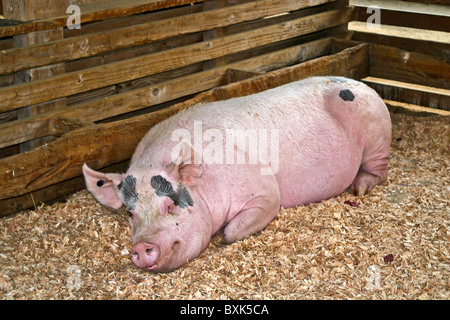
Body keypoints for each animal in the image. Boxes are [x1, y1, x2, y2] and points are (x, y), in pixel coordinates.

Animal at [83, 76, 390, 272]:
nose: (141, 247)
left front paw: (221, 240)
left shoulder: (265, 192)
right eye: (130, 213)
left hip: (377, 137)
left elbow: (232, 231)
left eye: (170, 205)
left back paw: (359, 188)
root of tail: (362, 84)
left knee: (379, 169)